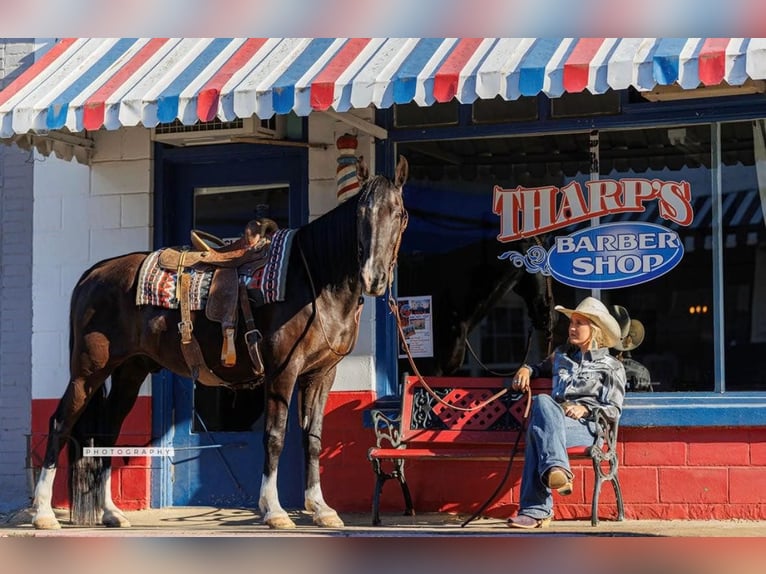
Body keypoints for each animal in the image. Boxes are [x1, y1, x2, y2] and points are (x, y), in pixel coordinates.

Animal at [33, 156, 412, 532]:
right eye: (360, 213)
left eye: (399, 213)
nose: (374, 278)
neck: (314, 280)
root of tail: (94, 272)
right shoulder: (282, 371)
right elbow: (275, 436)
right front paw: (274, 511)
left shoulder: (321, 374)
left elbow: (314, 438)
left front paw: (321, 509)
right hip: (88, 371)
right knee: (60, 424)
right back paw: (43, 513)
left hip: (130, 372)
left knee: (108, 432)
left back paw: (112, 512)